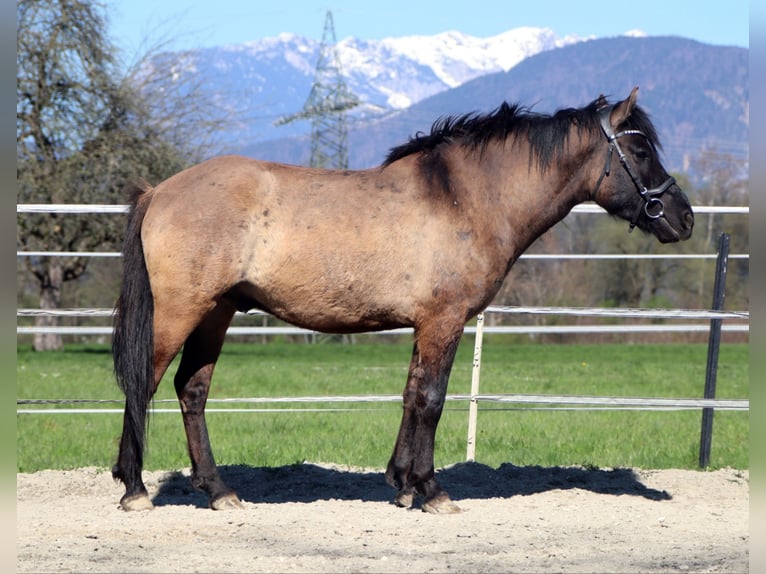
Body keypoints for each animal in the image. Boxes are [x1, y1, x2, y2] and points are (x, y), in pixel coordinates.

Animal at [112, 87, 693, 514]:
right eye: (641, 150)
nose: (684, 218)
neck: (465, 198)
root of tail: (159, 191)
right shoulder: (444, 321)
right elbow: (432, 399)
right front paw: (432, 491)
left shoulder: (425, 325)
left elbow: (413, 395)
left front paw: (403, 483)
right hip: (180, 314)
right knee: (144, 383)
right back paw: (134, 489)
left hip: (216, 313)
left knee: (192, 391)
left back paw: (219, 491)